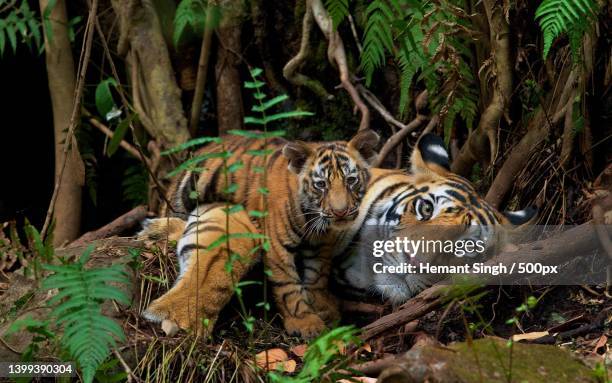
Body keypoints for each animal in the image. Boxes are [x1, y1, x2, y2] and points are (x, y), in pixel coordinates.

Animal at [146, 131, 380, 340]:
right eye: (321, 184)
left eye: (351, 180)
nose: (341, 211)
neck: (314, 220)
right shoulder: (277, 245)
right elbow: (288, 285)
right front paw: (305, 323)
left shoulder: (321, 246)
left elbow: (317, 276)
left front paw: (323, 307)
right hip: (182, 195)